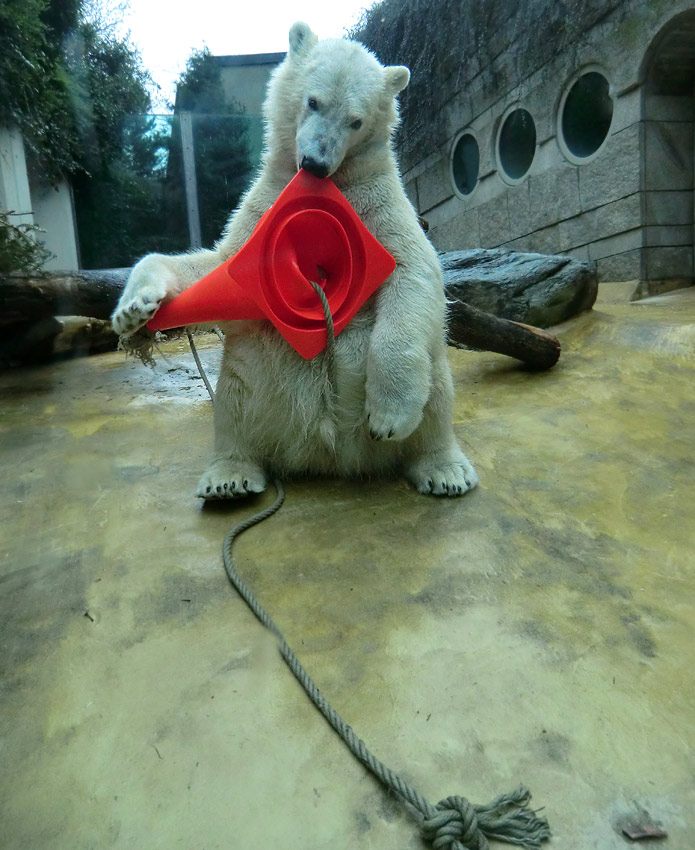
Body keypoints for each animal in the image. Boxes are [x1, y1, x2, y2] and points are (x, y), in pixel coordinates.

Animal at [113, 21, 478, 496]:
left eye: (356, 120)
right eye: (313, 101)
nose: (316, 162)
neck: (329, 185)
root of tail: (328, 455)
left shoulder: (376, 199)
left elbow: (414, 269)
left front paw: (388, 417)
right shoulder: (267, 200)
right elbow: (220, 267)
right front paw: (135, 311)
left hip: (426, 375)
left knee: (436, 383)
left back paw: (443, 468)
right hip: (259, 378)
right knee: (236, 395)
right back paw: (230, 475)